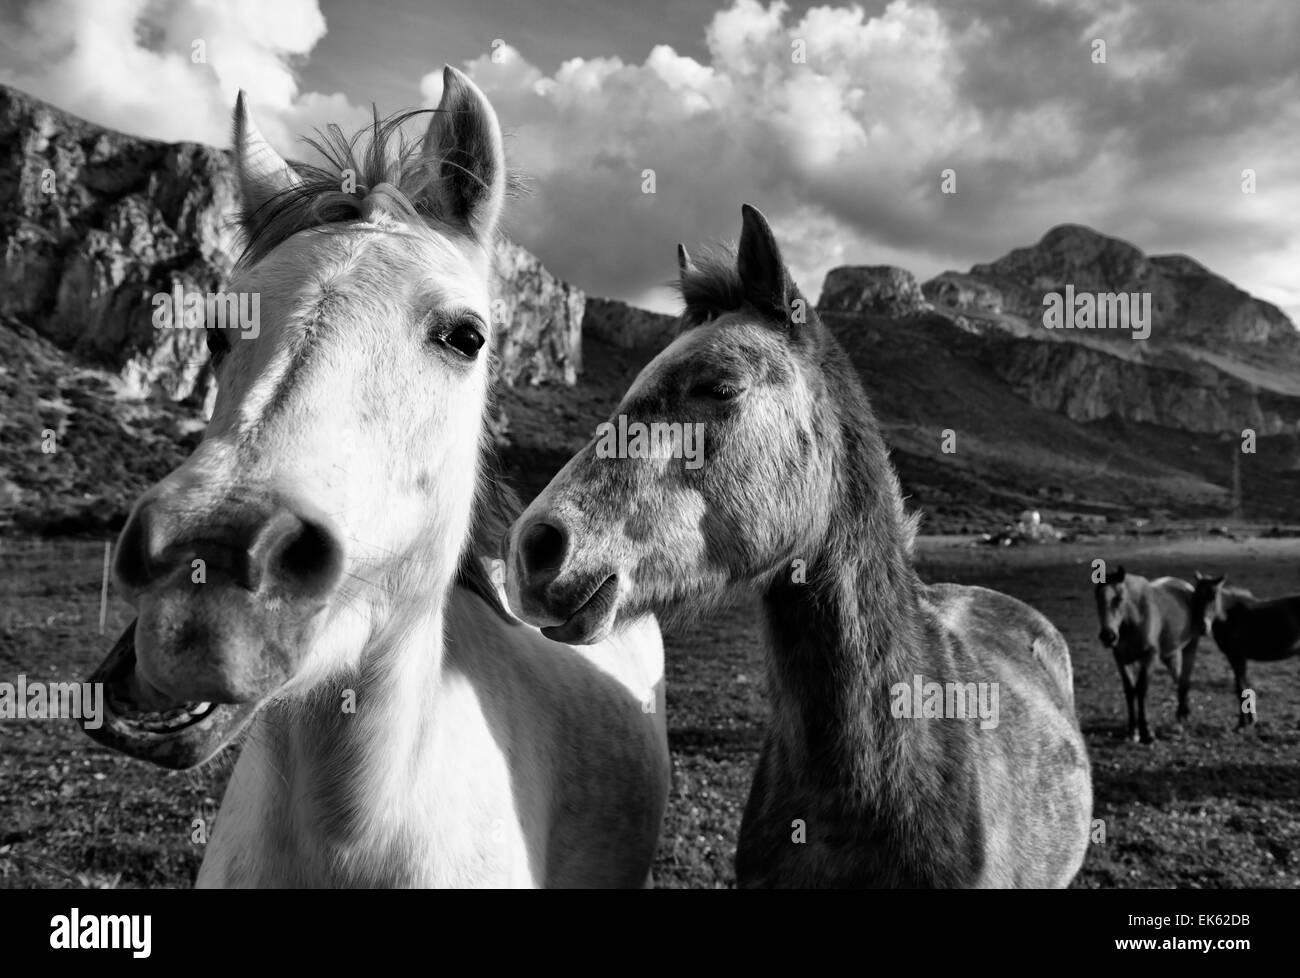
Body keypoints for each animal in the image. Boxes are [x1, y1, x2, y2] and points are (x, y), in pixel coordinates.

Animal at [1086, 564, 1196, 738]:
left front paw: (1147, 731)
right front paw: (1133, 730)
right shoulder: (1121, 658)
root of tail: (1185, 586)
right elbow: (1130, 690)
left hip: (1190, 646)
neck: (1134, 620)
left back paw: (1180, 720)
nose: (1108, 636)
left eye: (1119, 599)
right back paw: (1183, 714)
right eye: (1097, 599)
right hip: (1169, 654)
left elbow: (1142, 689)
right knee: (1178, 678)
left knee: (1184, 679)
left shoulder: (1150, 656)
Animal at [1190, 572, 1300, 728]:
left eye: (1214, 596)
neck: (1229, 616)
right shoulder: (1234, 657)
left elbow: (1240, 687)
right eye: (1195, 596)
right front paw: (1249, 721)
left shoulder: (1237, 656)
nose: (1203, 627)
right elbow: (1241, 686)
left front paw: (1243, 724)